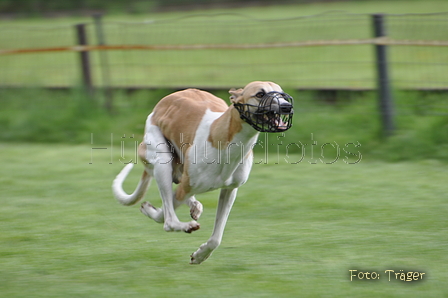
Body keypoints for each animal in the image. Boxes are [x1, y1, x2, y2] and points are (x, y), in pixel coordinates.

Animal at [113, 81, 294, 264]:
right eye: (260, 94)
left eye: (280, 92)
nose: (287, 107)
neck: (225, 137)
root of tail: (161, 103)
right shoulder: (186, 186)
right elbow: (164, 213)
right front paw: (152, 211)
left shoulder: (230, 190)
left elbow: (216, 238)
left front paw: (200, 255)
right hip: (161, 156)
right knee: (169, 219)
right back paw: (183, 223)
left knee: (178, 190)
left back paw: (194, 206)